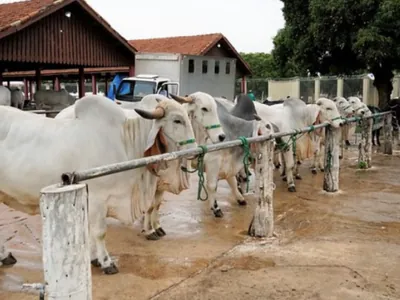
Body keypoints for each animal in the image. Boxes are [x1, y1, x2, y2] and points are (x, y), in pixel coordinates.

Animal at [0, 95, 197, 274]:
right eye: (177, 120)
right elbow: (99, 232)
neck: (125, 142)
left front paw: (94, 258)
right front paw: (106, 262)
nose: (195, 151)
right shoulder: (97, 199)